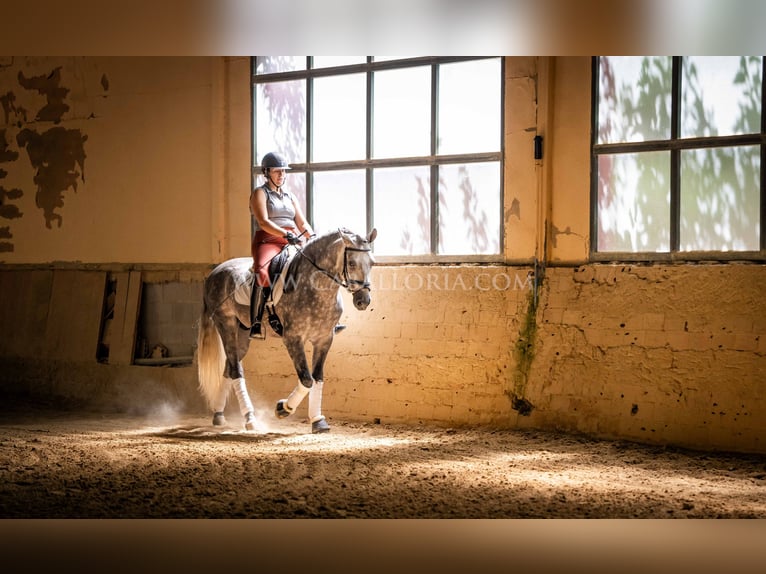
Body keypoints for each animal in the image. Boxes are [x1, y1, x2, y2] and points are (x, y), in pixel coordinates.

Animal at [198, 227, 378, 434]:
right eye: (351, 263)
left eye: (372, 263)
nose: (363, 301)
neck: (316, 289)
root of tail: (215, 272)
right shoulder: (293, 339)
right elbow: (306, 379)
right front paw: (283, 409)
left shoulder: (324, 339)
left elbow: (317, 378)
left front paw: (318, 420)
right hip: (226, 324)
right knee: (235, 370)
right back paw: (250, 418)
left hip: (242, 334)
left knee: (230, 366)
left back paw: (219, 415)